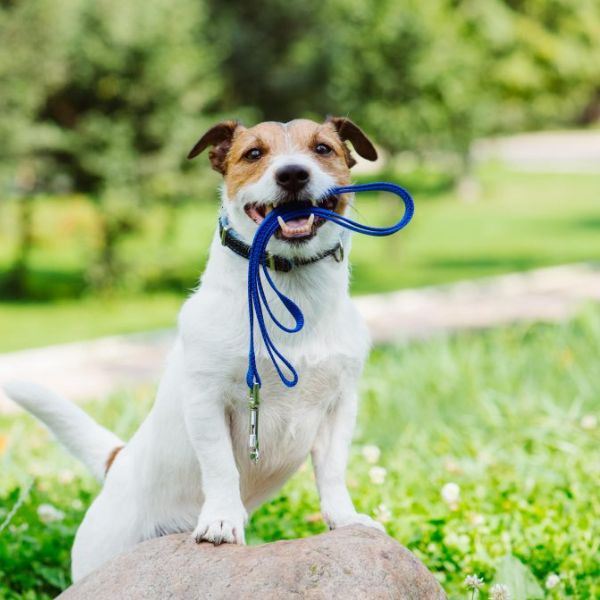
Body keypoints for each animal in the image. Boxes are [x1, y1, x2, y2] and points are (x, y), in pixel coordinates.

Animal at [3, 116, 384, 580]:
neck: (291, 290)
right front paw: (221, 520)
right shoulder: (207, 400)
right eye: (254, 153)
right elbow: (220, 466)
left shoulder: (339, 405)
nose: (293, 174)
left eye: (323, 148)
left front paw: (344, 518)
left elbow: (332, 470)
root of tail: (119, 463)